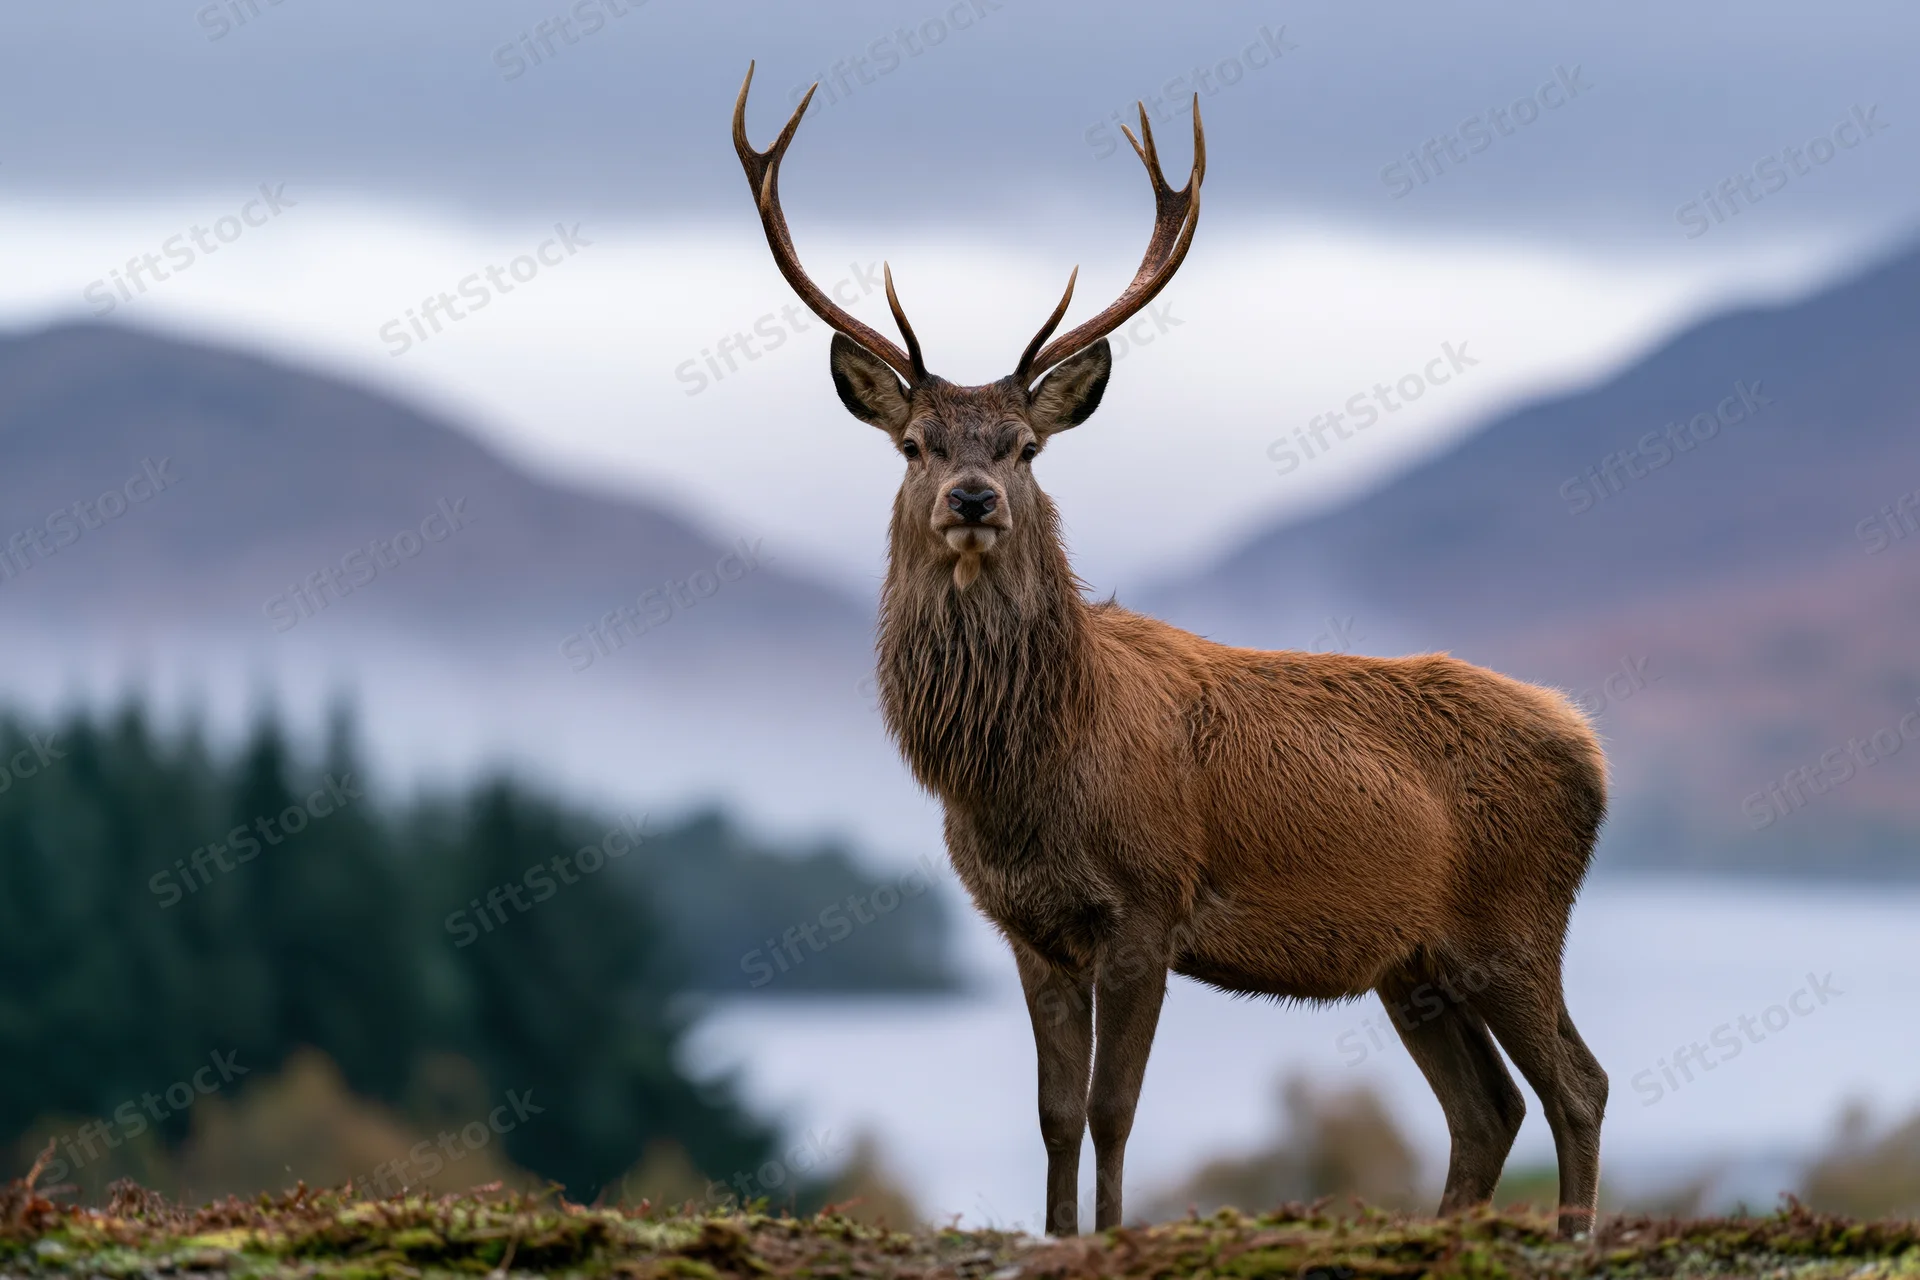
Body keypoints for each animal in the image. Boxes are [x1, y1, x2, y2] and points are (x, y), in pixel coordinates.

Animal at [731, 63, 1610, 1240]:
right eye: (914, 444)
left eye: (1026, 445)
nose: (974, 497)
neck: (1023, 774)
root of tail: (1592, 746)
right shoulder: (1028, 926)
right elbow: (1055, 1111)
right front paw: (1059, 1234)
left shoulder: (1148, 903)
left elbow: (1115, 1108)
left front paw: (1110, 1233)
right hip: (1414, 962)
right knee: (1489, 1106)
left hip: (1515, 922)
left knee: (1576, 1084)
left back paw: (1573, 1231)